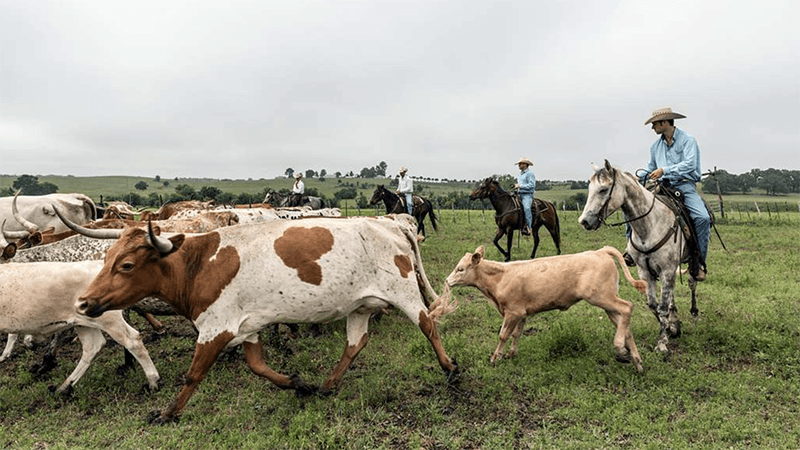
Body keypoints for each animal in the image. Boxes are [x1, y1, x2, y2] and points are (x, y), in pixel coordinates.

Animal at [0, 259, 160, 394]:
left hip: (109, 321)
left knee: (132, 341)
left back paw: (153, 381)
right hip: (82, 323)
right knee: (92, 346)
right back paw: (65, 387)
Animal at [58, 209, 458, 424]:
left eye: (126, 265)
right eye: (107, 258)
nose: (84, 303)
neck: (198, 264)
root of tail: (390, 225)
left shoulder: (215, 328)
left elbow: (192, 375)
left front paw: (168, 412)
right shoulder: (246, 328)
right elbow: (259, 366)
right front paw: (298, 384)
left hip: (403, 292)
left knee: (428, 324)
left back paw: (450, 369)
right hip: (359, 306)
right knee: (355, 344)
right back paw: (328, 385)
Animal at [445, 245, 646, 371]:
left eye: (460, 269)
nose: (447, 280)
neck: (500, 278)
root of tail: (600, 251)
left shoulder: (512, 312)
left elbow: (503, 335)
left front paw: (495, 358)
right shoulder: (521, 314)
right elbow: (517, 334)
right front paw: (511, 354)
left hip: (601, 297)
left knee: (627, 307)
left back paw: (620, 346)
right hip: (607, 302)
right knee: (625, 326)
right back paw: (636, 361)